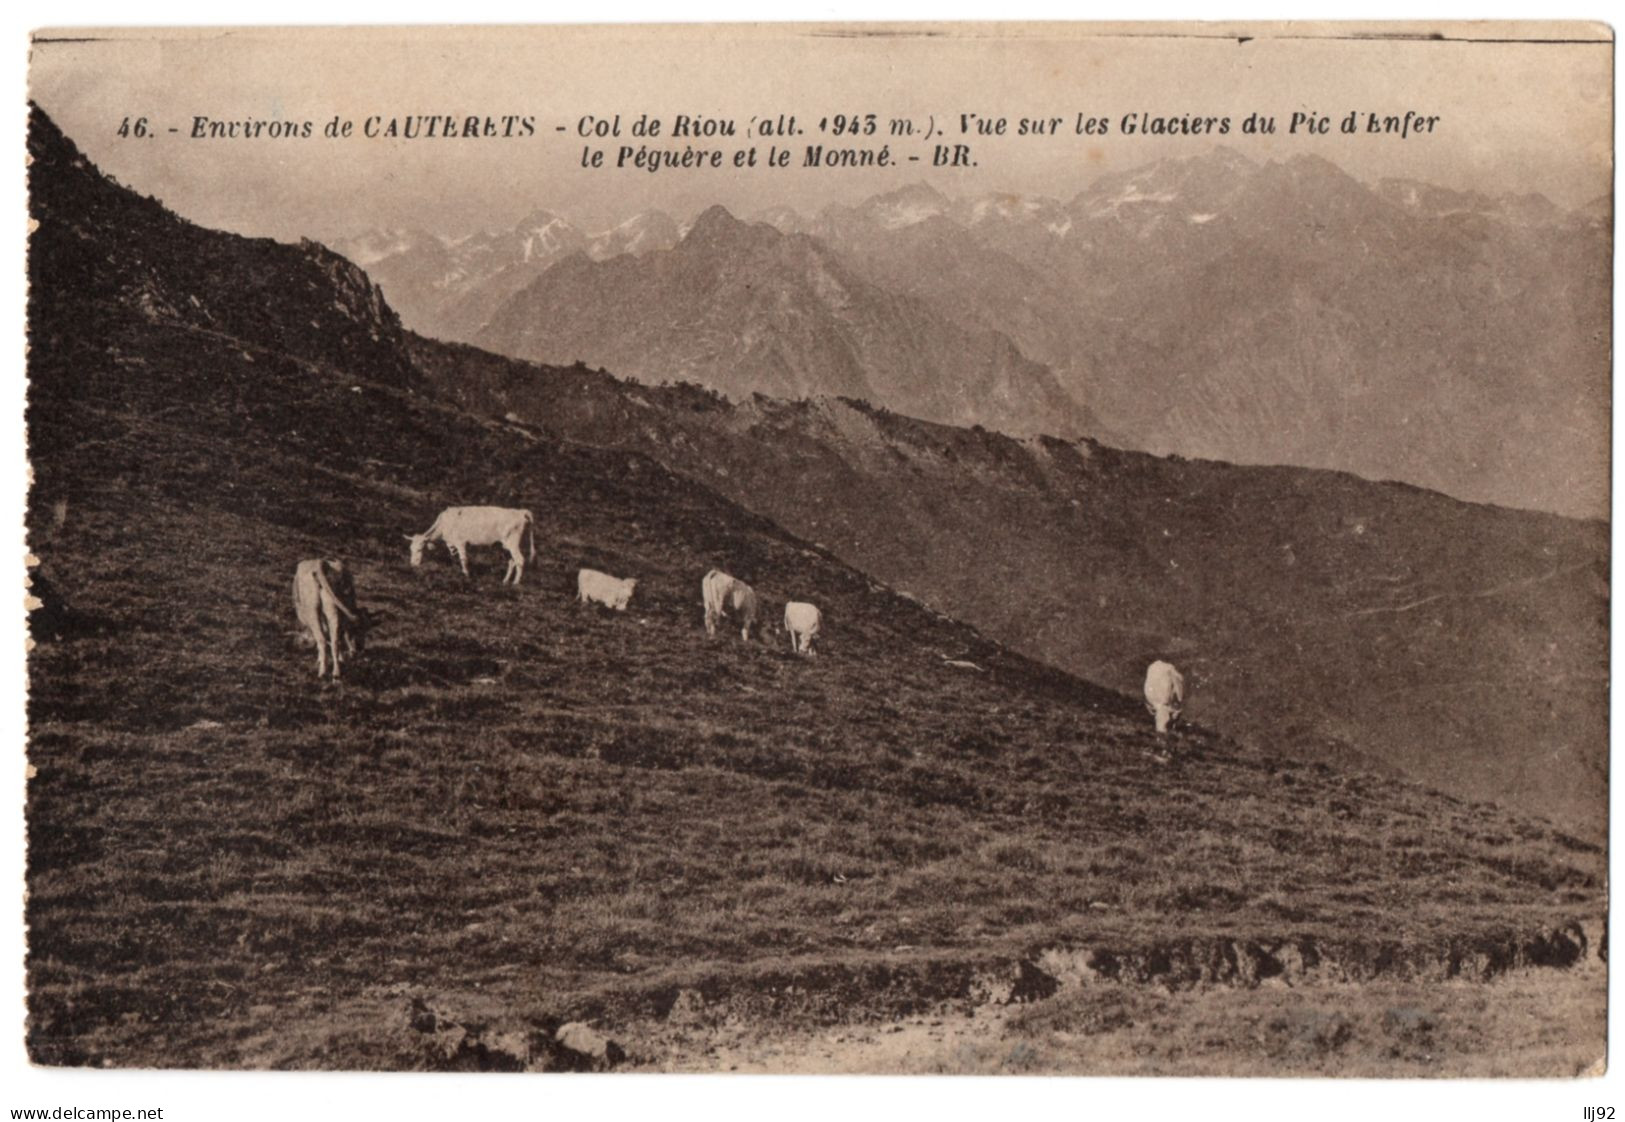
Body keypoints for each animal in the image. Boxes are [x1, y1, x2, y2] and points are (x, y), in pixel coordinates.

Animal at [403, 500, 536, 582]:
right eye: (410, 549)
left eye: (420, 549)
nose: (413, 565)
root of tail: (521, 512)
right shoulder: (452, 544)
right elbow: (455, 557)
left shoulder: (460, 542)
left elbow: (463, 559)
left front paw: (466, 575)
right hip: (505, 546)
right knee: (512, 561)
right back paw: (505, 581)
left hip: (513, 543)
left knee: (520, 560)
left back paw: (516, 583)